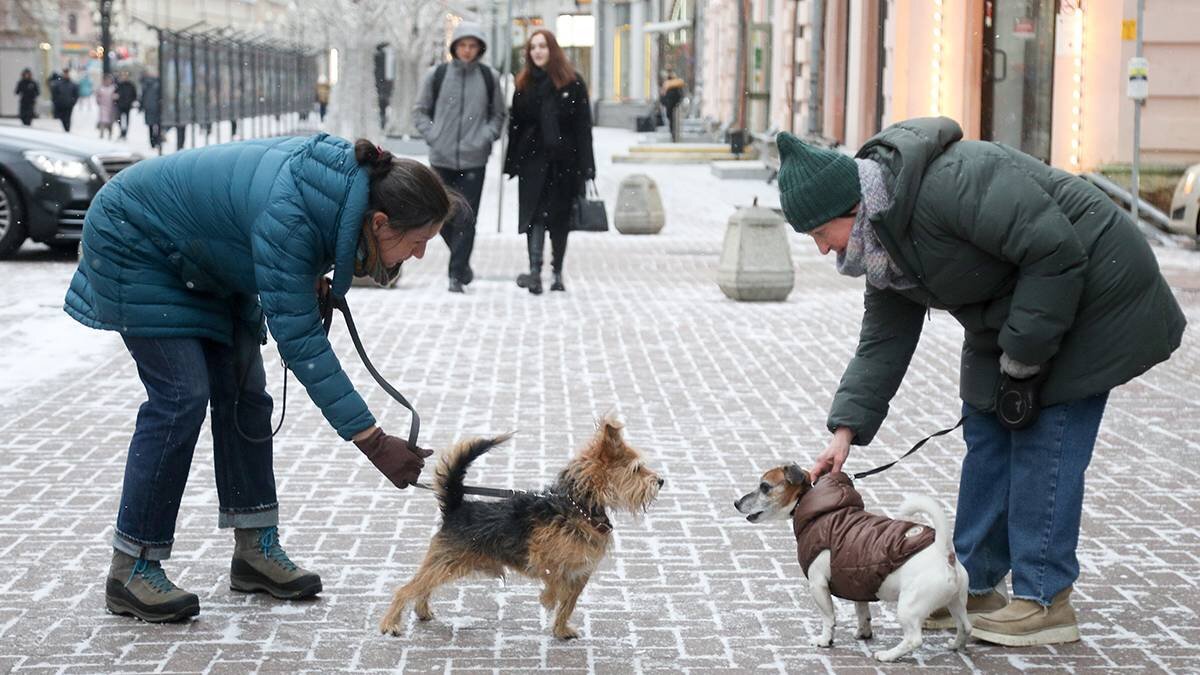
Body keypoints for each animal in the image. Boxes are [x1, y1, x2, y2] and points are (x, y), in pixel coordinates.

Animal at [379, 415, 662, 634]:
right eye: (637, 469)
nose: (660, 481)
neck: (579, 507)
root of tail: (456, 506)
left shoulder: (581, 573)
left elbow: (568, 604)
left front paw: (561, 630)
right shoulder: (540, 557)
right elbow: (554, 582)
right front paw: (548, 599)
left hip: (447, 564)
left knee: (423, 586)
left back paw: (422, 610)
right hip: (446, 560)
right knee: (406, 589)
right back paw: (390, 623)